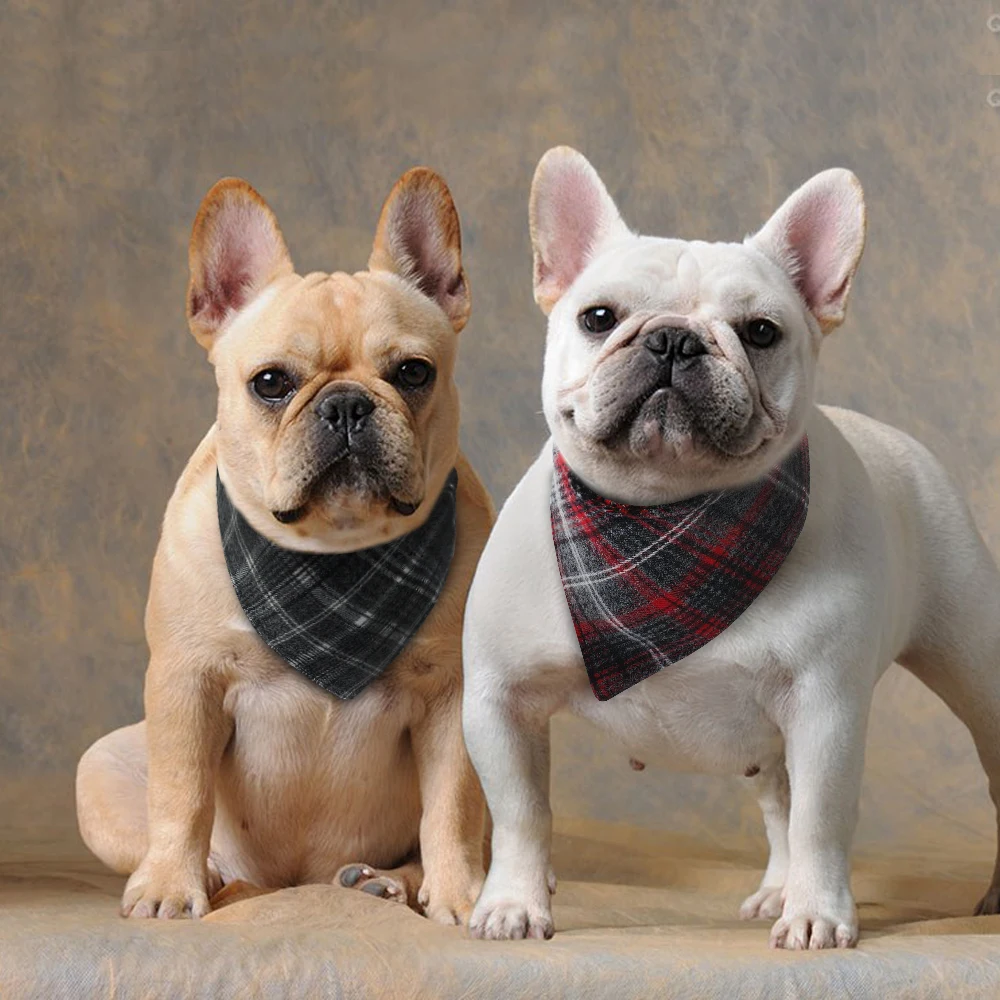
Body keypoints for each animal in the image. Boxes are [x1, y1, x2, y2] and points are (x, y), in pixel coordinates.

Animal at [76, 168, 493, 925]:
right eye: (271, 383)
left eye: (413, 373)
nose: (347, 404)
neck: (332, 563)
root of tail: (293, 879)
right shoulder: (186, 683)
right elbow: (182, 793)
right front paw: (169, 886)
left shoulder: (456, 698)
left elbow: (451, 806)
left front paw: (457, 895)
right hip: (99, 766)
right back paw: (212, 877)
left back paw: (388, 882)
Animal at [462, 146, 1000, 949]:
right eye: (598, 317)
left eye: (761, 331)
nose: (673, 337)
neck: (664, 523)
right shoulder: (501, 700)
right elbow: (522, 813)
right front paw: (514, 905)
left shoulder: (824, 709)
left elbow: (821, 820)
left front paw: (818, 914)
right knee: (777, 799)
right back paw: (776, 889)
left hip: (974, 669)